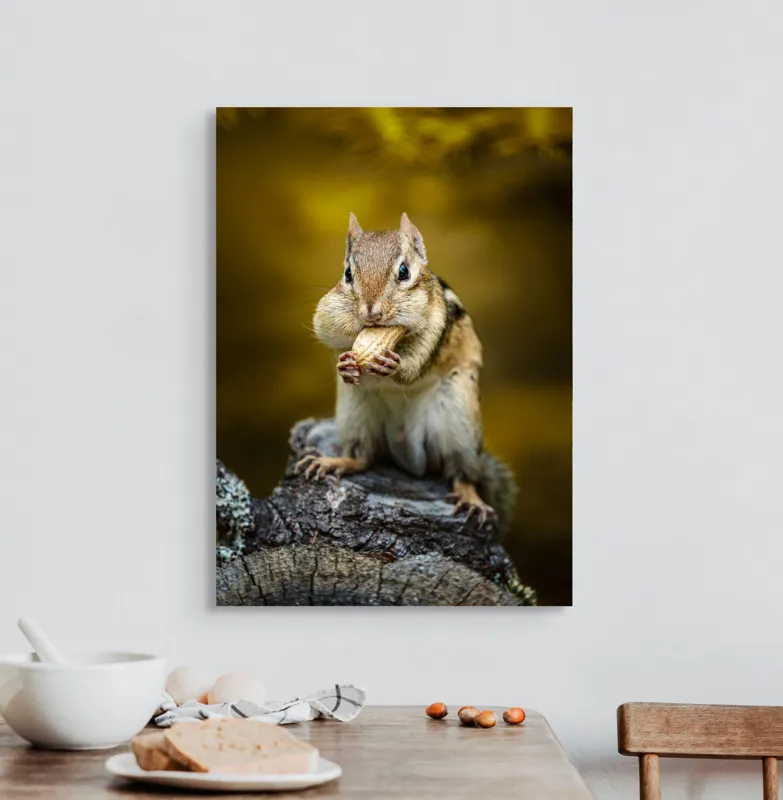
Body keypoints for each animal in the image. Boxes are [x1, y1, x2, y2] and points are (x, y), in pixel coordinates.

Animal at [296, 212, 516, 531]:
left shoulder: (437, 324)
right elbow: (327, 332)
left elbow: (415, 367)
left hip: (458, 417)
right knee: (364, 457)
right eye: (348, 274)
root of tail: (406, 450)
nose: (371, 313)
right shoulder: (329, 313)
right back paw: (333, 462)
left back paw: (471, 498)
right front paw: (344, 364)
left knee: (460, 473)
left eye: (404, 272)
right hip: (356, 411)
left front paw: (395, 366)